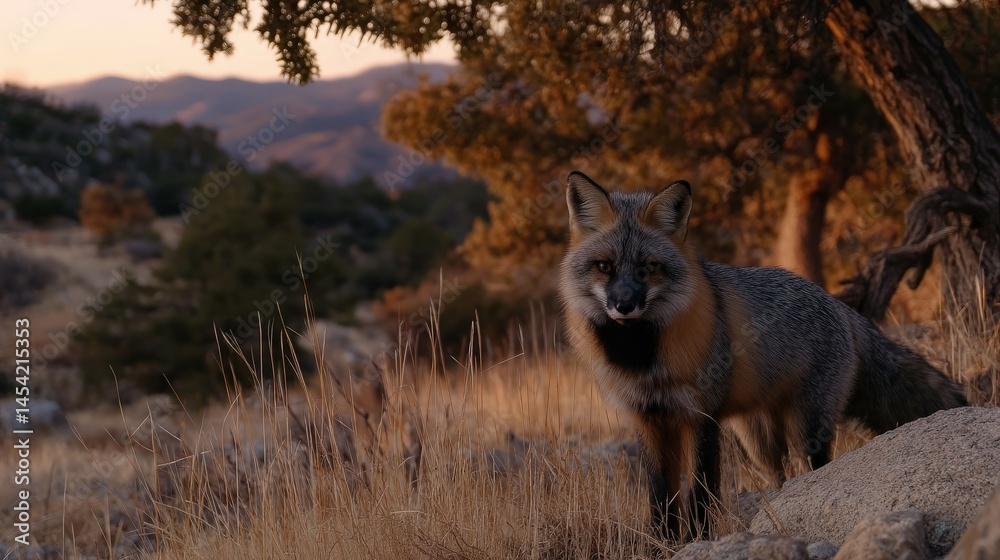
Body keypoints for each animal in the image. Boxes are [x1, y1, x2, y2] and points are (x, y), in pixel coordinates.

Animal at [558, 171, 968, 542]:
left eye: (648, 267)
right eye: (605, 266)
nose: (624, 305)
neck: (644, 358)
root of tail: (838, 304)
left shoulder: (701, 417)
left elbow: (700, 493)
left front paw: (698, 541)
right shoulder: (647, 419)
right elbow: (660, 499)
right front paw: (664, 545)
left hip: (807, 429)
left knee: (813, 468)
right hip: (759, 440)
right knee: (779, 475)